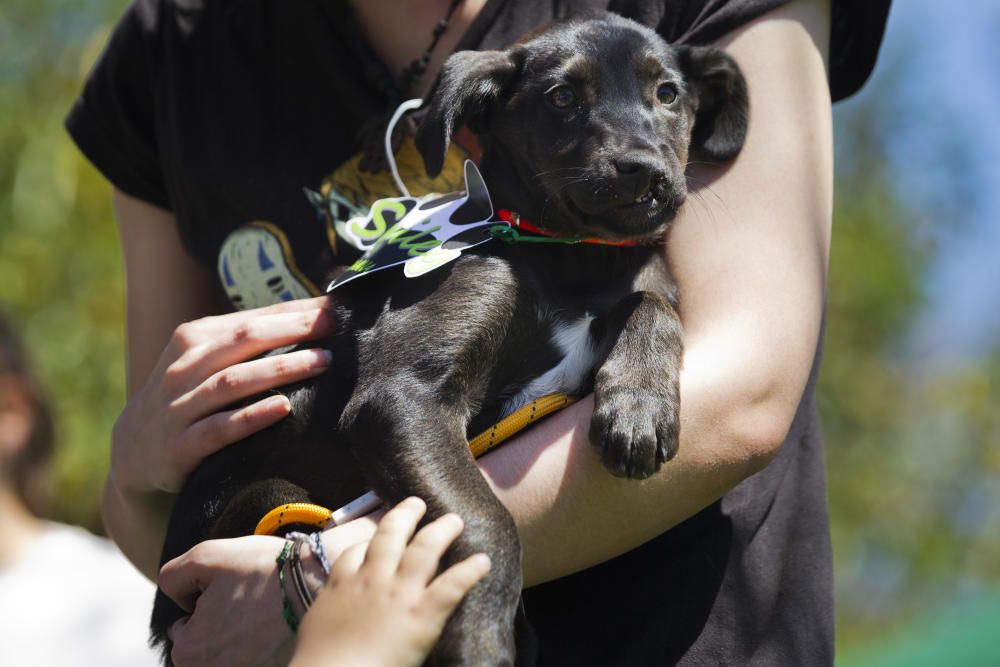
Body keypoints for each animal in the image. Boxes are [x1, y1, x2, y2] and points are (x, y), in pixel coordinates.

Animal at [148, 13, 744, 664]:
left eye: (668, 94)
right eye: (562, 97)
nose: (643, 169)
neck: (571, 262)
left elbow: (652, 303)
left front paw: (639, 404)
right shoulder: (403, 399)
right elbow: (486, 525)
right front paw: (481, 638)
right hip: (262, 496)